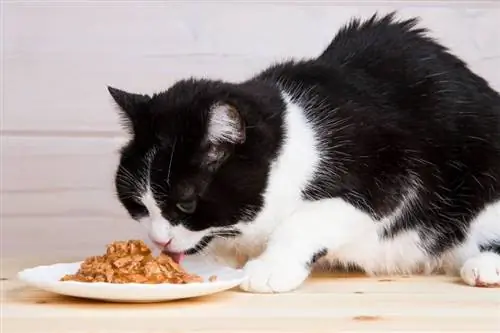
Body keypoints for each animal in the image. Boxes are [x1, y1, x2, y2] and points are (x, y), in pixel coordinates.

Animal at [106, 13, 500, 292]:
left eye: (186, 203)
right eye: (138, 205)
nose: (160, 239)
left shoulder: (391, 171)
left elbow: (307, 219)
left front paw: (270, 267)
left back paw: (486, 266)